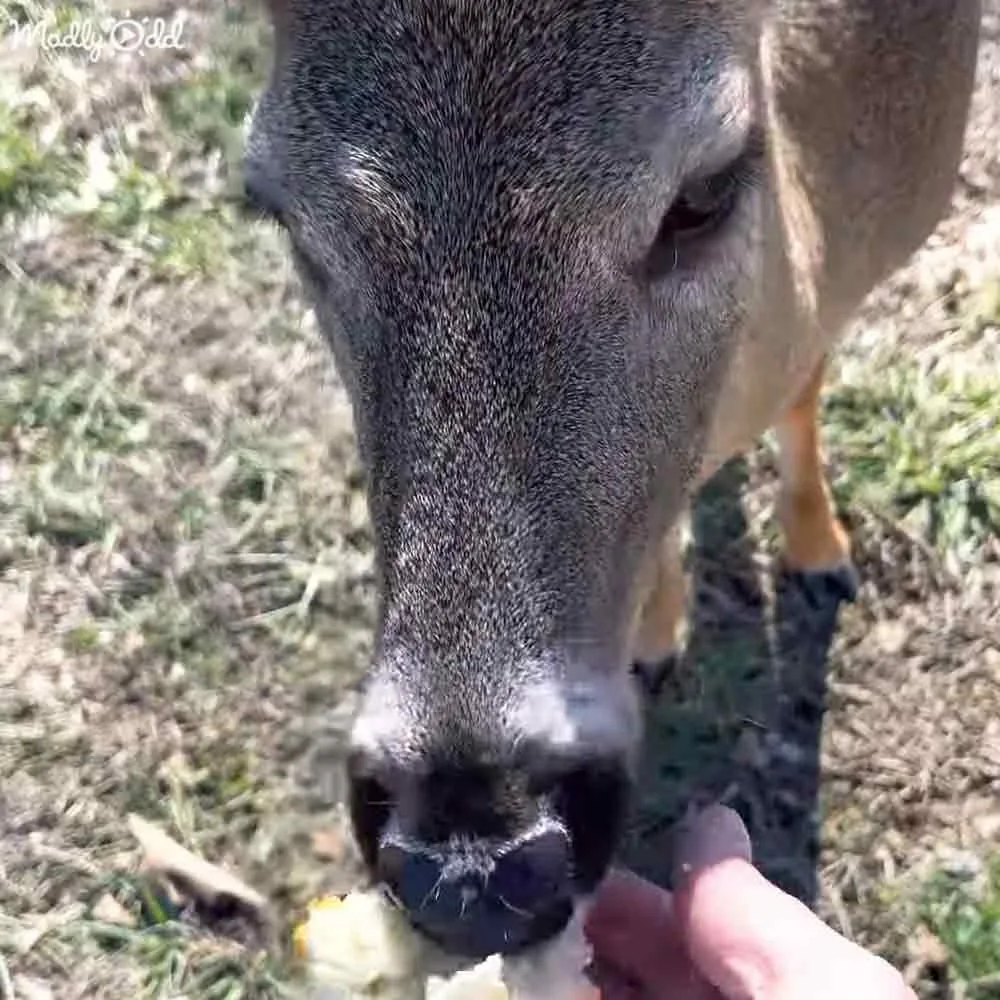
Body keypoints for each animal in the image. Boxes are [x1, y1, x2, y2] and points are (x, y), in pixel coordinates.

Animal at [244, 0, 981, 962]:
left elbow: (805, 394)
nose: (478, 856)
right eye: (280, 214)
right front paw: (657, 636)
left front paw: (820, 550)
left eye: (702, 193)